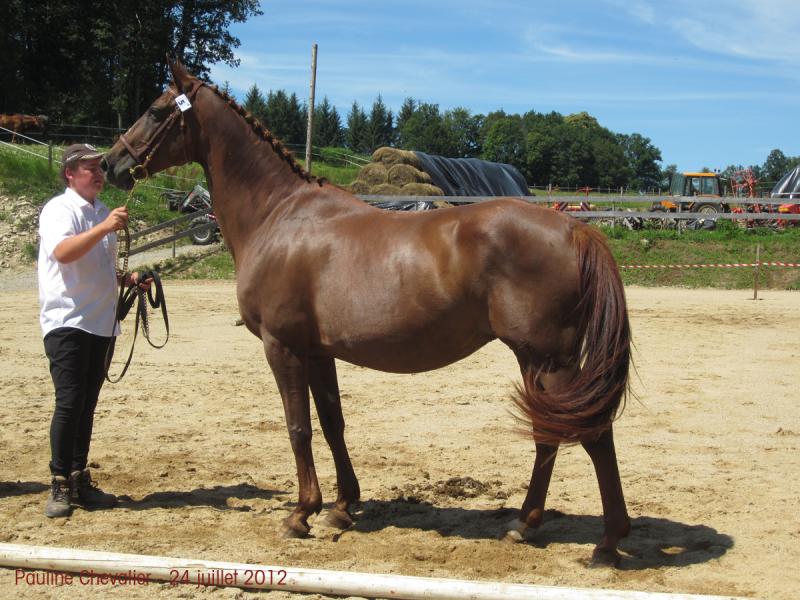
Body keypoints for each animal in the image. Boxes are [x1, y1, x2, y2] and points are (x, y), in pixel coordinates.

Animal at [103, 60, 633, 566]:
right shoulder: (319, 352)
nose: (110, 163)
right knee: (550, 435)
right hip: (534, 361)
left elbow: (298, 428)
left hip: (550, 361)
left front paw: (301, 514)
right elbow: (332, 423)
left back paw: (606, 544)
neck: (278, 215)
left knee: (592, 434)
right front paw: (341, 507)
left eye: (156, 110)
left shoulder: (282, 347)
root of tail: (575, 229)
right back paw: (525, 524)